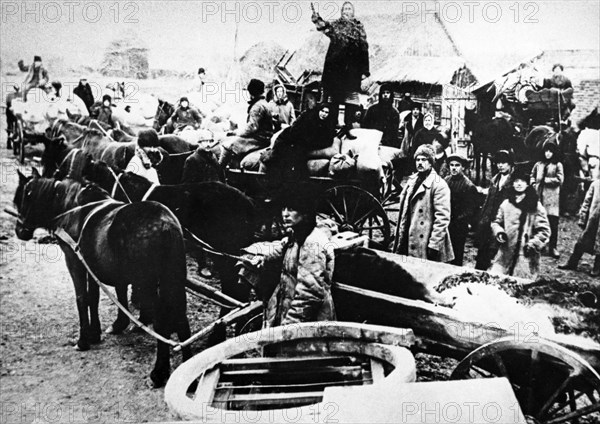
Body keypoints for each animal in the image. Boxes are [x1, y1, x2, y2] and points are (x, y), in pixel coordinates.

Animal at [14, 170, 191, 388]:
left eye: (23, 197)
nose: (19, 230)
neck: (73, 208)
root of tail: (165, 223)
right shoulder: (92, 267)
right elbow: (94, 297)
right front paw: (97, 332)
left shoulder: (74, 261)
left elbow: (82, 298)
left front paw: (83, 340)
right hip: (174, 279)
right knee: (181, 318)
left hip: (147, 283)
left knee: (160, 322)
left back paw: (159, 372)